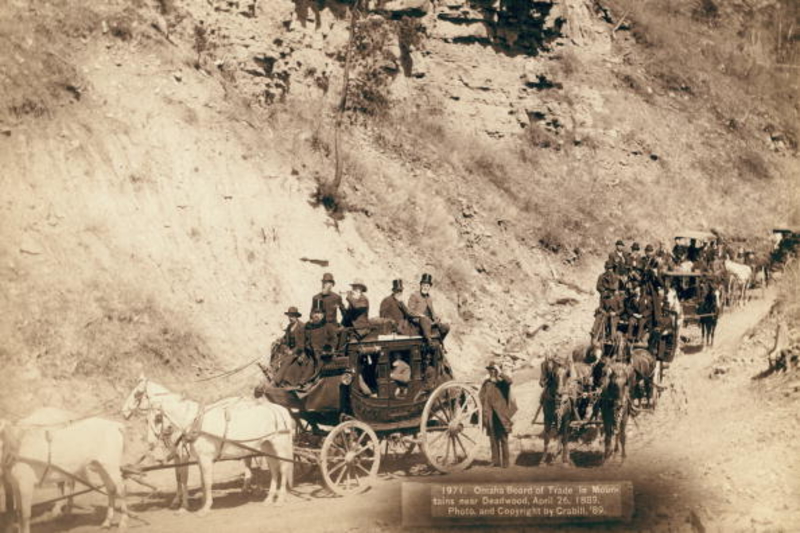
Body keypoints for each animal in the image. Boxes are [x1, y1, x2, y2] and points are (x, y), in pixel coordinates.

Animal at [120, 376, 292, 512]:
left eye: (136, 394)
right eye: (146, 420)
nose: (123, 413)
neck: (192, 423)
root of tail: (282, 411)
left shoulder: (191, 456)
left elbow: (191, 479)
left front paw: (193, 506)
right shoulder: (190, 457)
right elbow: (194, 479)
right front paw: (194, 501)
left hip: (280, 448)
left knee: (283, 469)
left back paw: (278, 498)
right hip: (266, 447)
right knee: (273, 469)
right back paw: (266, 497)